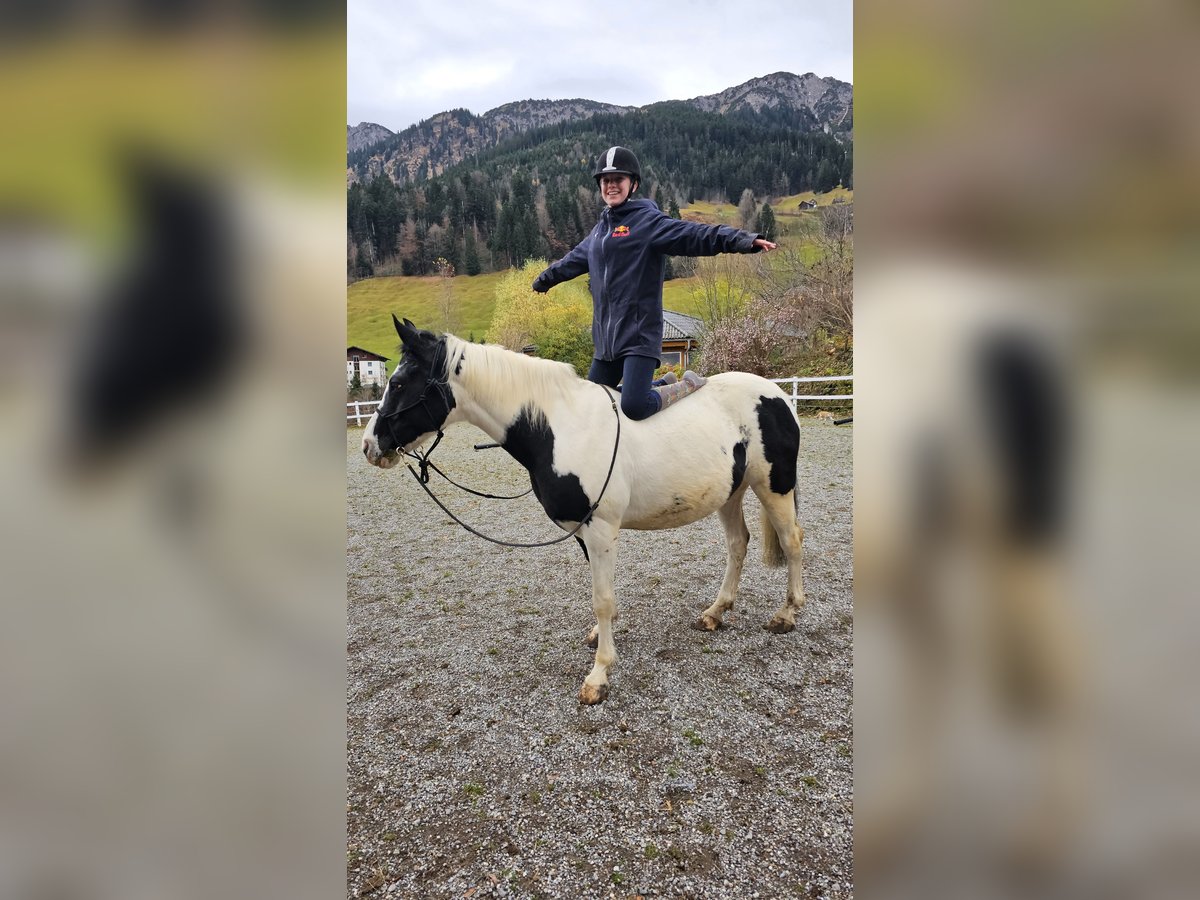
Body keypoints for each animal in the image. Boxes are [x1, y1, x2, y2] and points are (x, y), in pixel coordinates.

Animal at [362, 315, 807, 704]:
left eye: (398, 382)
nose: (369, 445)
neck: (557, 427)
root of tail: (779, 395)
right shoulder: (581, 530)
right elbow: (599, 596)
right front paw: (599, 637)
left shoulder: (601, 529)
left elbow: (603, 599)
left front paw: (599, 675)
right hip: (731, 493)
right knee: (738, 544)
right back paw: (716, 612)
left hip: (774, 486)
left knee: (792, 542)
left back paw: (786, 615)